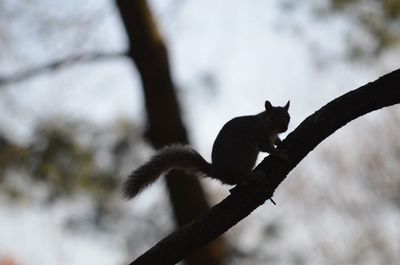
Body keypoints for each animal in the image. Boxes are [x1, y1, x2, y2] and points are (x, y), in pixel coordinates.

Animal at [122, 100, 290, 199]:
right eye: (272, 117)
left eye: (288, 116)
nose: (284, 128)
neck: (266, 125)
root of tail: (219, 172)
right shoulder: (258, 135)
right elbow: (267, 147)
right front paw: (280, 154)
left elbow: (275, 141)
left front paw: (280, 142)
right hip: (246, 154)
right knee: (238, 180)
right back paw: (252, 176)